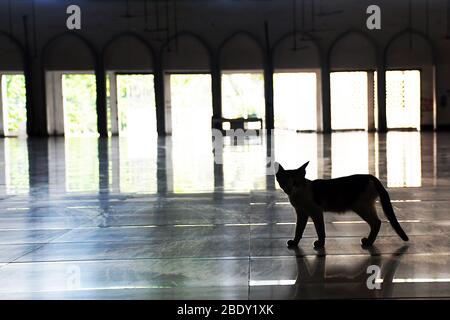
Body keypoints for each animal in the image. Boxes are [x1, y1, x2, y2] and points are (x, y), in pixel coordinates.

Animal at [276, 161, 410, 249]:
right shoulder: (301, 213)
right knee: (376, 222)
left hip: (361, 206)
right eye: (284, 182)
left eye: (295, 183)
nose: (289, 189)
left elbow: (320, 230)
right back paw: (369, 242)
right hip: (365, 206)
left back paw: (368, 242)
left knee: (377, 222)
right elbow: (298, 230)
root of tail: (370, 176)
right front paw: (294, 243)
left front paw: (320, 244)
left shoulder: (316, 211)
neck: (298, 196)